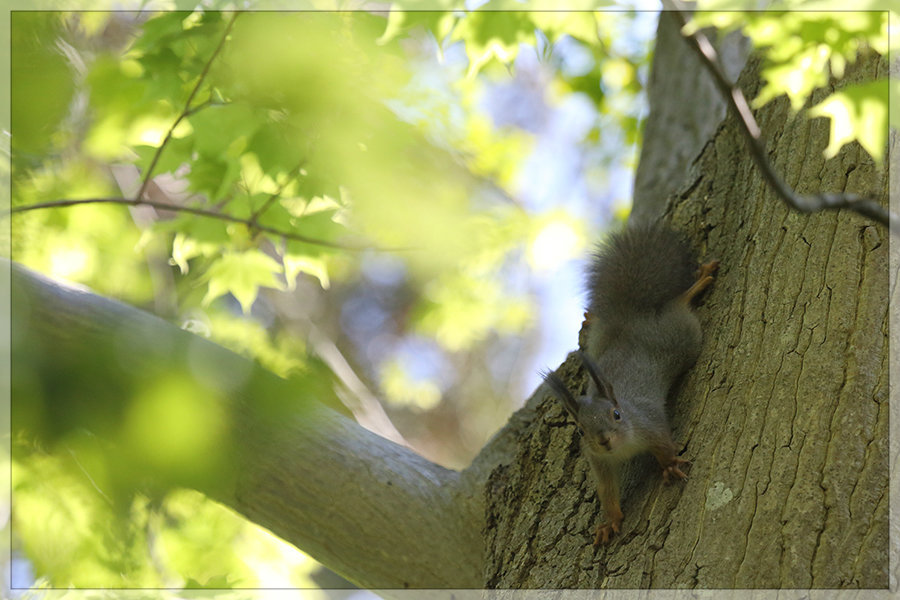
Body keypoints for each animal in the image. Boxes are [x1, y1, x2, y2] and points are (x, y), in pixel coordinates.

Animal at [540, 223, 716, 548]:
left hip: (680, 335)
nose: (604, 440)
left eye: (617, 415)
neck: (622, 449)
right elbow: (607, 492)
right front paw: (610, 521)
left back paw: (697, 284)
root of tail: (630, 317)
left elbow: (664, 445)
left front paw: (669, 465)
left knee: (677, 307)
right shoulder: (598, 462)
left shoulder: (649, 424)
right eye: (580, 430)